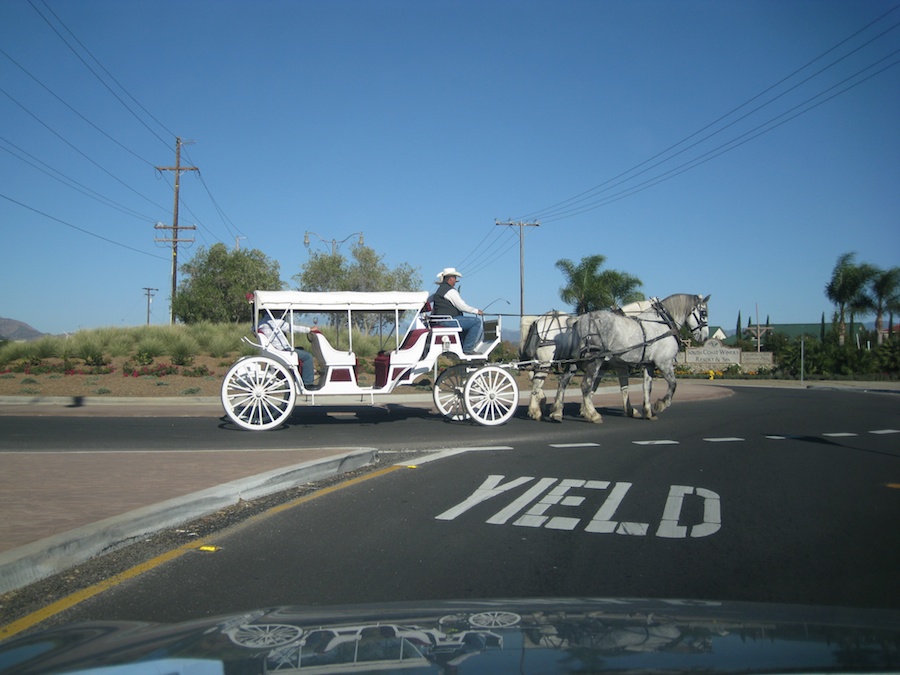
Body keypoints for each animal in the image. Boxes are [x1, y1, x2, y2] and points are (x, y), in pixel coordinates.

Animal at [548, 294, 712, 422]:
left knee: (564, 381)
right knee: (585, 385)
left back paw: (557, 412)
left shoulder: (648, 364)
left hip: (576, 361)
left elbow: (646, 387)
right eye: (703, 312)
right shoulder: (663, 362)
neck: (663, 323)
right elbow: (673, 384)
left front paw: (647, 411)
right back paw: (593, 415)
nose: (704, 337)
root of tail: (580, 319)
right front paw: (660, 405)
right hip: (595, 360)